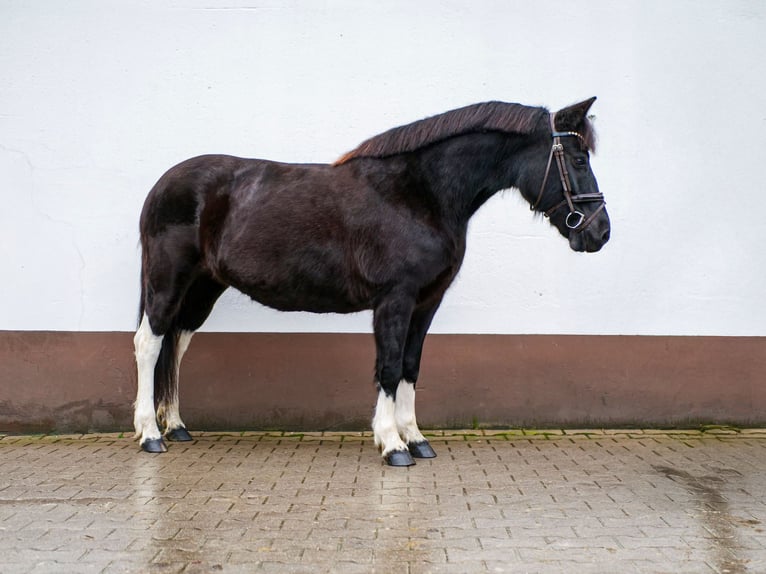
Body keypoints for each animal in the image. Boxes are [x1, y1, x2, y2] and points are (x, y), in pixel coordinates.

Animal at [133, 97, 610, 466]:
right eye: (578, 159)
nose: (600, 232)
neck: (419, 196)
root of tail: (161, 186)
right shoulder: (394, 300)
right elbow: (389, 366)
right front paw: (392, 445)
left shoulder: (426, 302)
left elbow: (411, 366)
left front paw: (417, 440)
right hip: (167, 280)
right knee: (149, 343)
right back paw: (149, 435)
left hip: (203, 287)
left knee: (176, 343)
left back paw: (176, 427)